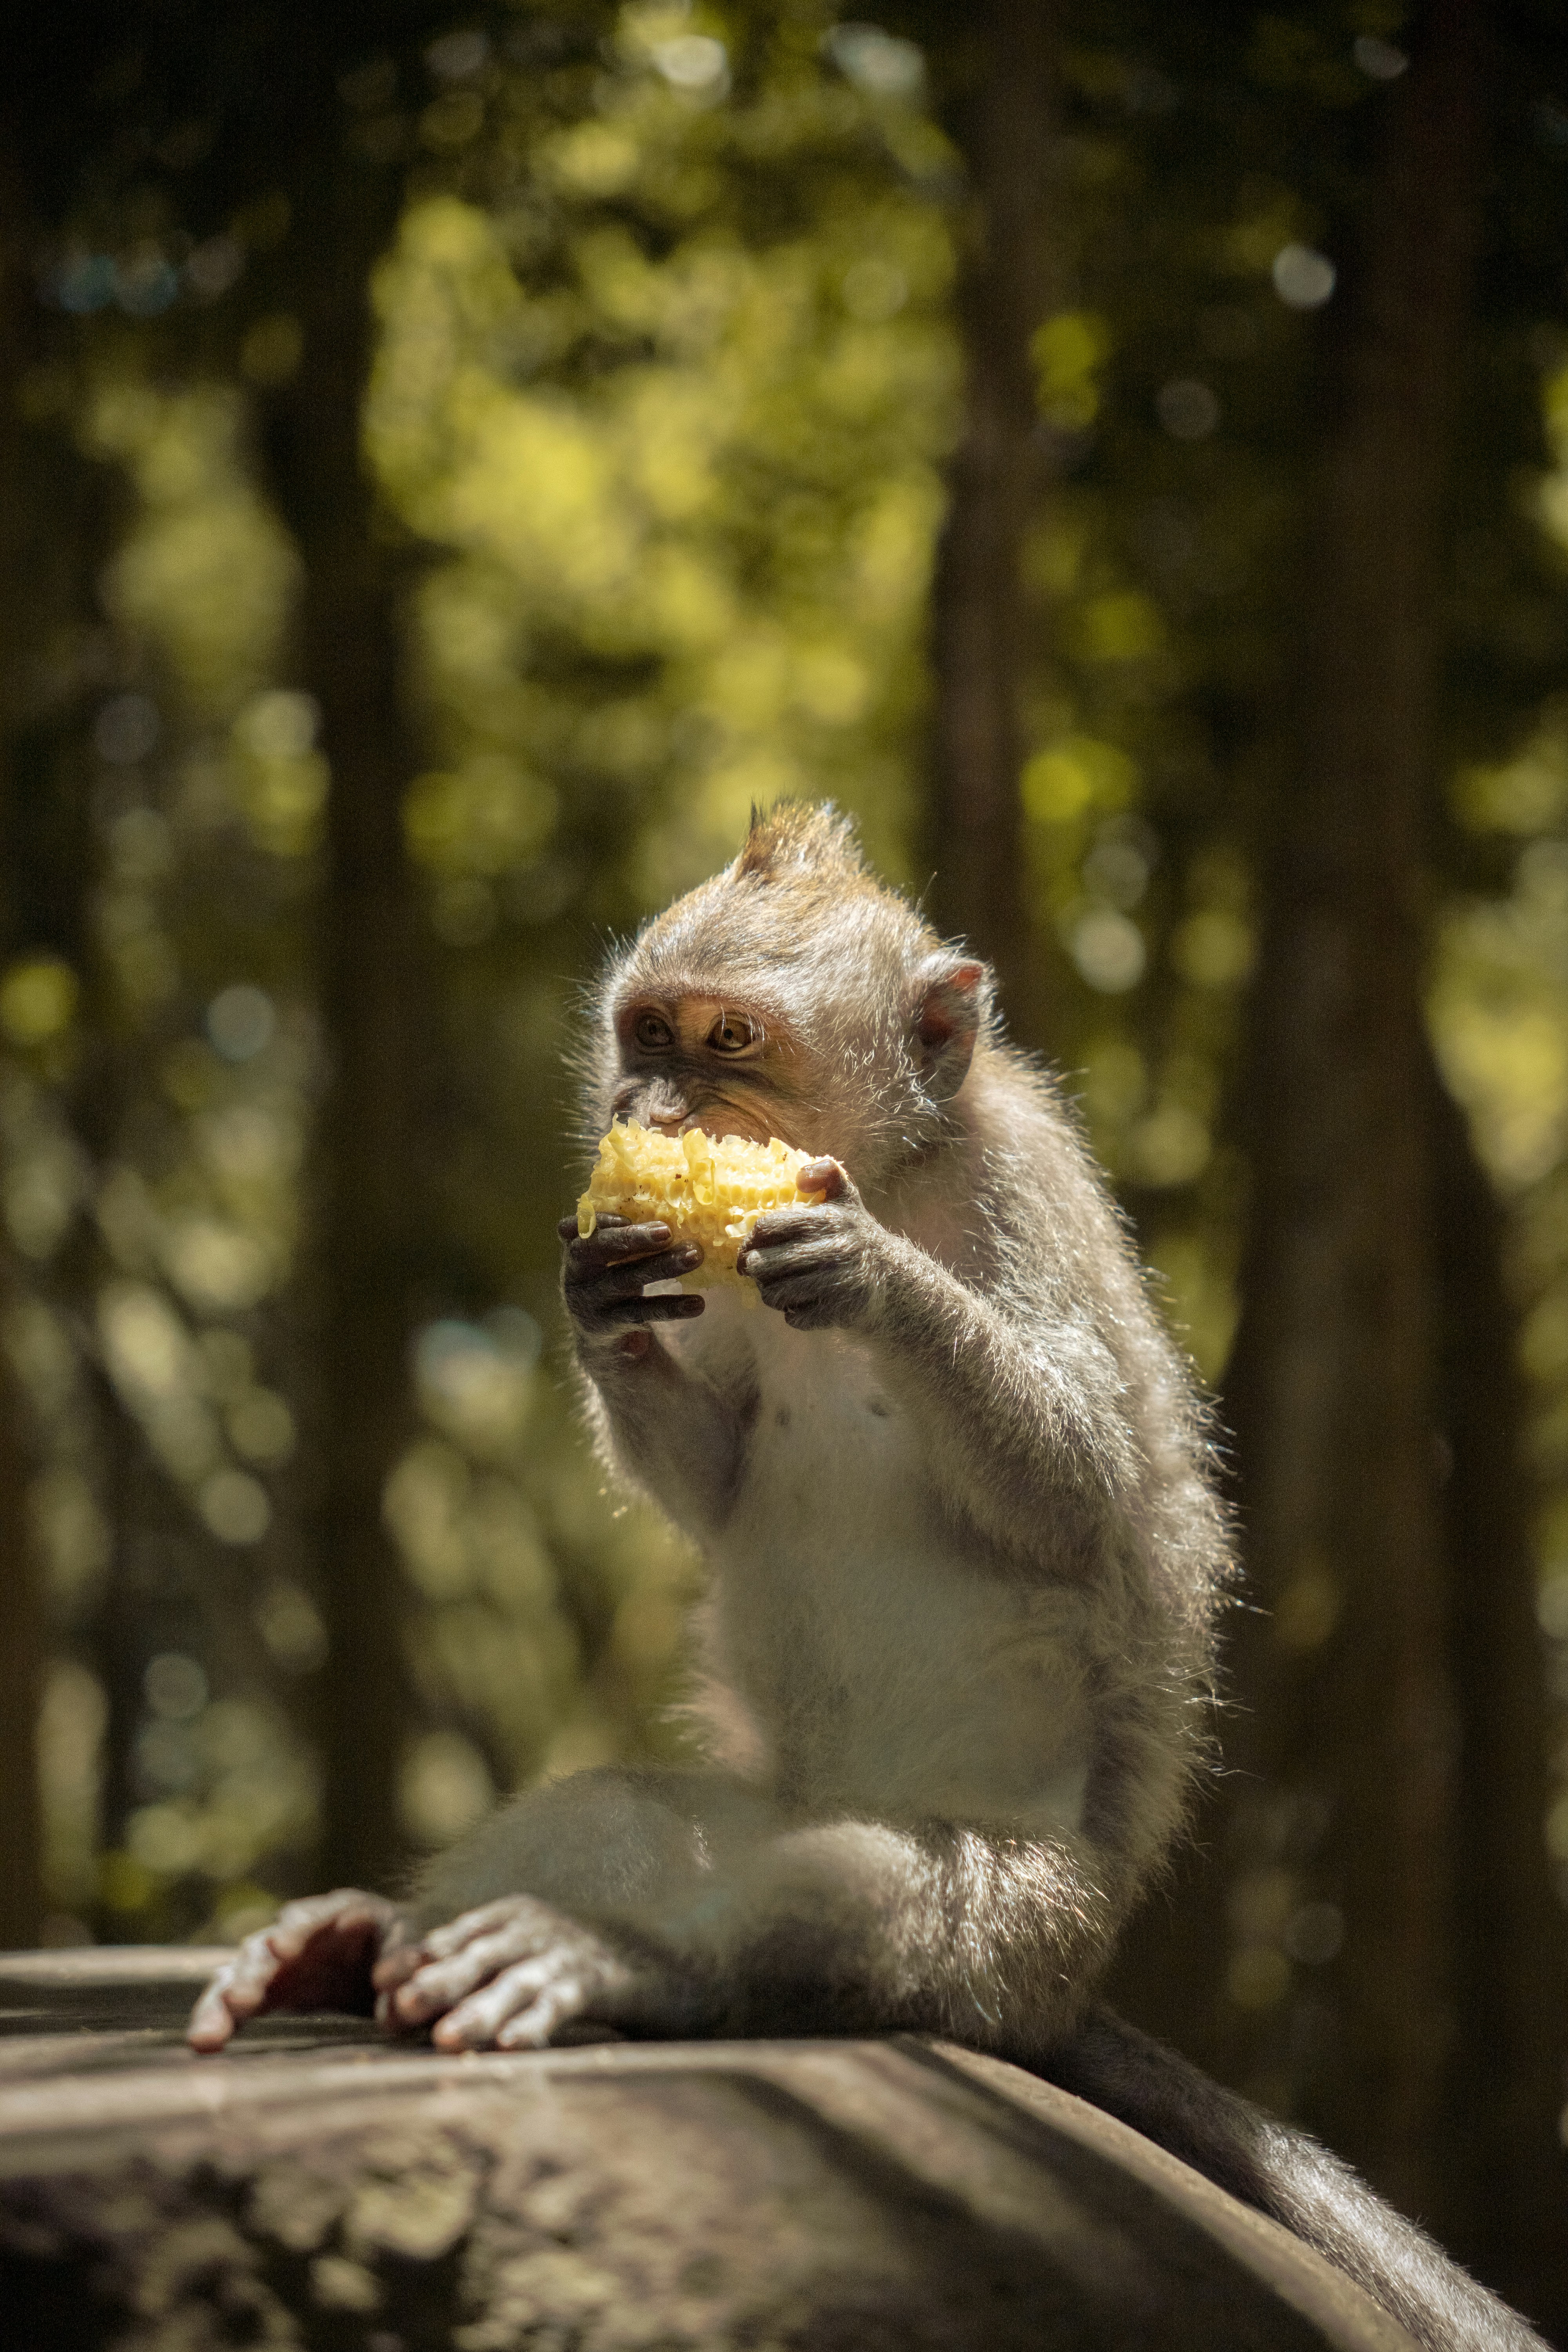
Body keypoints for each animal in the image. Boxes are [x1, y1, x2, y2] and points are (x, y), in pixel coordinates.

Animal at [191, 805, 1545, 2352]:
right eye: (645, 1029)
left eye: (728, 1036)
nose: (647, 1107)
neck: (886, 1162)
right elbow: (717, 1476)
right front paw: (602, 1296)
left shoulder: (1021, 1187)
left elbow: (1086, 1494)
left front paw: (874, 1278)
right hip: (772, 1812)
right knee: (629, 1817)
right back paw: (374, 1940)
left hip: (1023, 1930)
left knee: (865, 1892)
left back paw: (620, 1963)